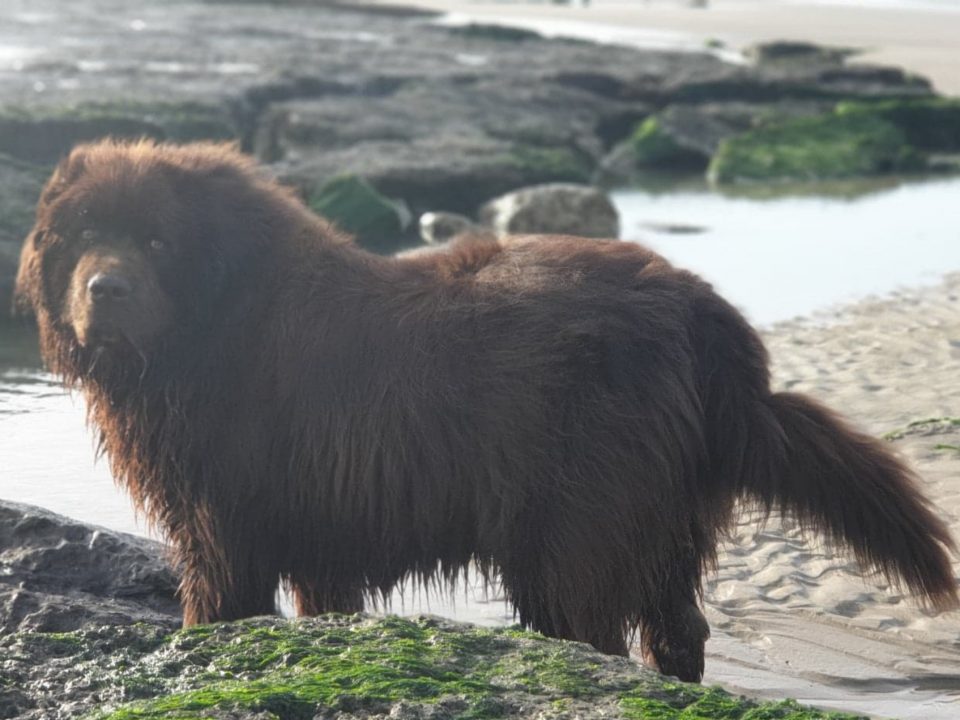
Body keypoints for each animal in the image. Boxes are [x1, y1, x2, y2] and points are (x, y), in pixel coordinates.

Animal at [11, 139, 956, 680]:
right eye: (82, 237)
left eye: (156, 239)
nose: (107, 288)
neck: (219, 316)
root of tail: (702, 307)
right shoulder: (320, 537)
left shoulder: (225, 524)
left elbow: (218, 609)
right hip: (665, 521)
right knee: (676, 630)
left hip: (575, 531)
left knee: (594, 637)